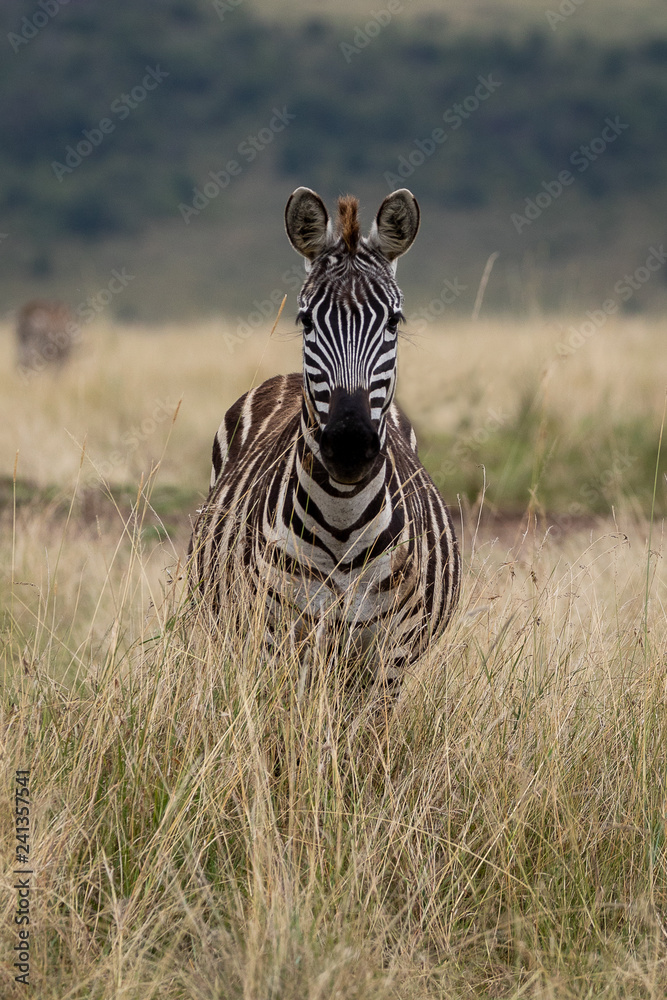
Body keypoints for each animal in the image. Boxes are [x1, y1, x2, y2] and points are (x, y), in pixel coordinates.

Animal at [189, 187, 460, 691]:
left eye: (394, 322)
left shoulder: (389, 660)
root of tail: (288, 375)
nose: (349, 445)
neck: (343, 522)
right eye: (306, 321)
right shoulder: (279, 646)